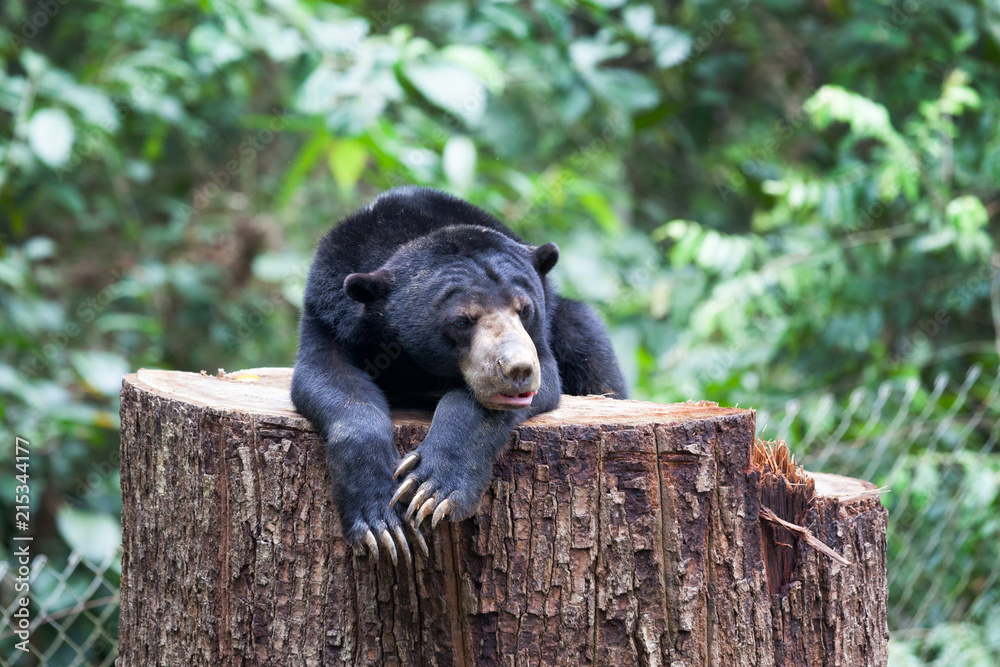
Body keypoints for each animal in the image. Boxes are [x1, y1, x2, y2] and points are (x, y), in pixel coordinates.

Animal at [290, 185, 628, 568]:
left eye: (524, 309)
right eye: (463, 320)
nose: (518, 370)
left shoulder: (541, 344)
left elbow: (496, 401)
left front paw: (432, 490)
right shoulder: (329, 313)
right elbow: (329, 379)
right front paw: (382, 525)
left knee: (588, 342)